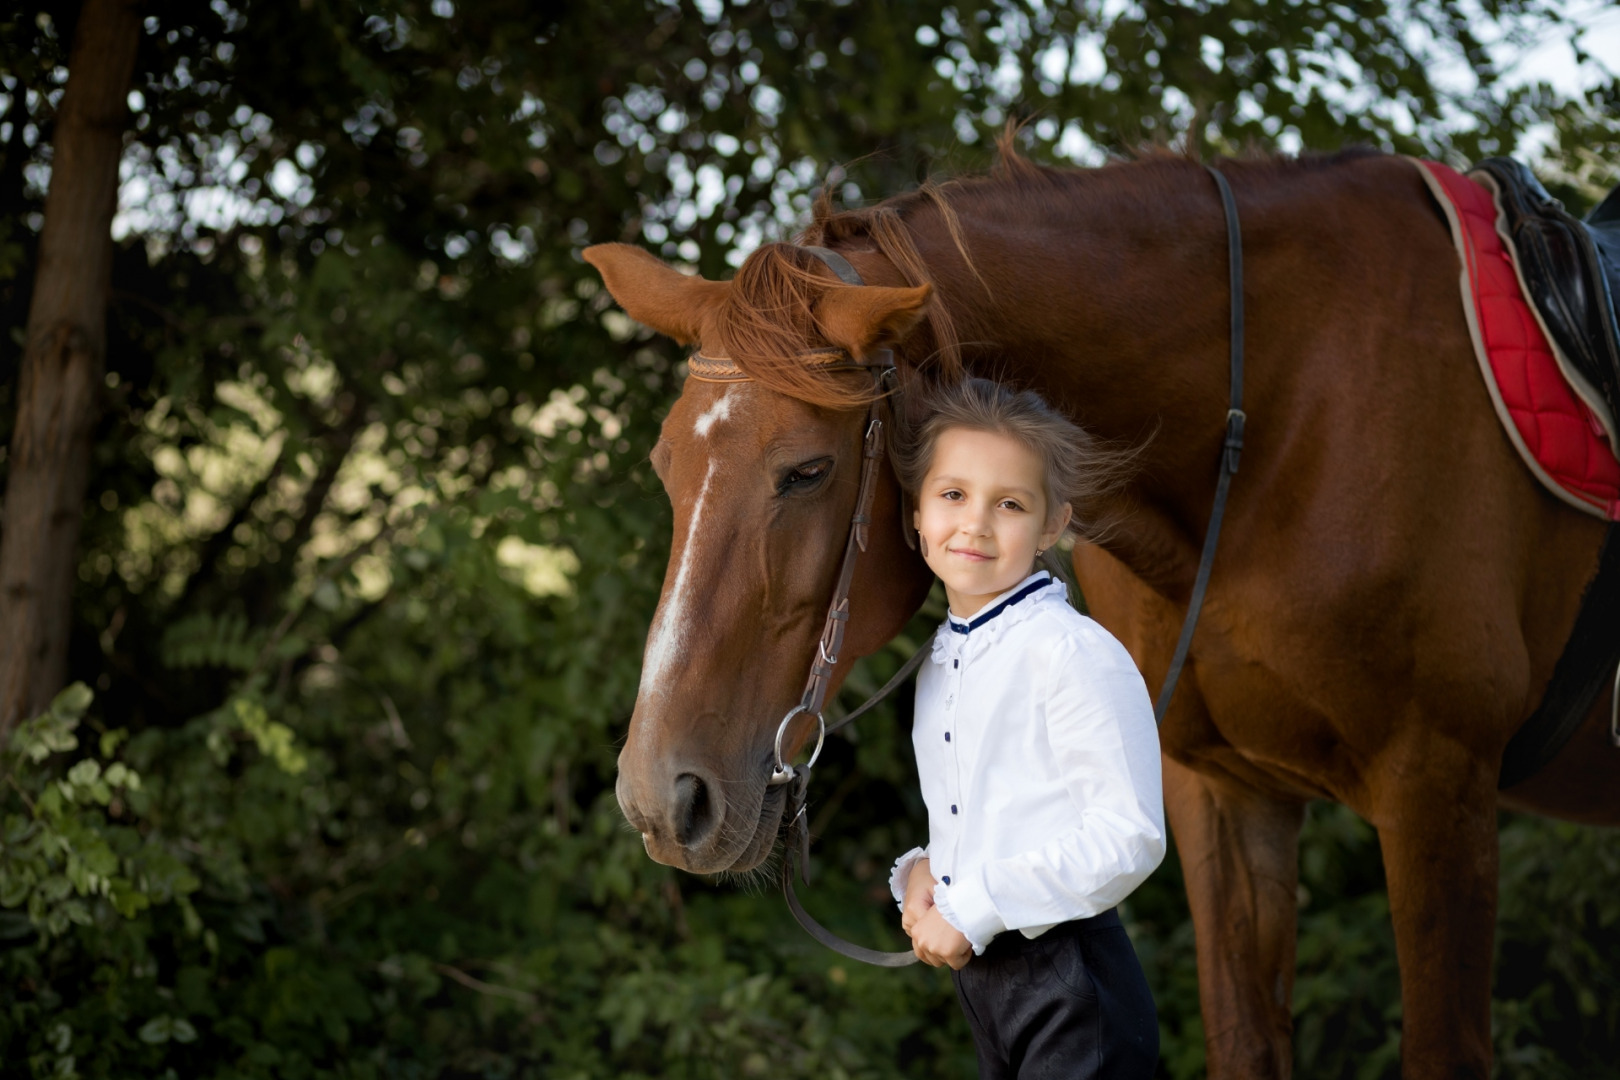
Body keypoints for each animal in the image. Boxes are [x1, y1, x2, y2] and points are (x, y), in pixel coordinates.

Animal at [583, 149, 1620, 1080]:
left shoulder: (1436, 793)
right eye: (666, 466)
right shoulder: (1221, 793)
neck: (1281, 418)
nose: (658, 796)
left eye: (807, 471)